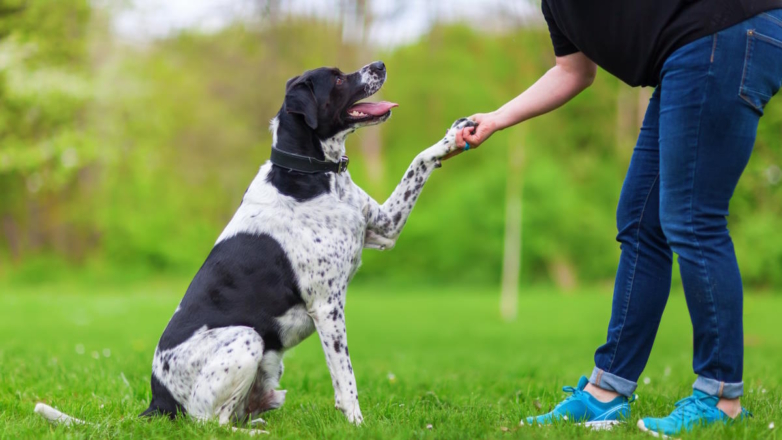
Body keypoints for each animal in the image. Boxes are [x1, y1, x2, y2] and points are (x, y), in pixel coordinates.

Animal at [35, 62, 478, 434]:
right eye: (336, 79)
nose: (380, 64)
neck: (312, 174)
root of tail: (158, 401)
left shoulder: (385, 227)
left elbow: (418, 162)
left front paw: (455, 135)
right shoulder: (327, 306)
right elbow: (346, 378)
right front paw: (356, 423)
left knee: (230, 414)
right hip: (246, 339)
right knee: (208, 423)